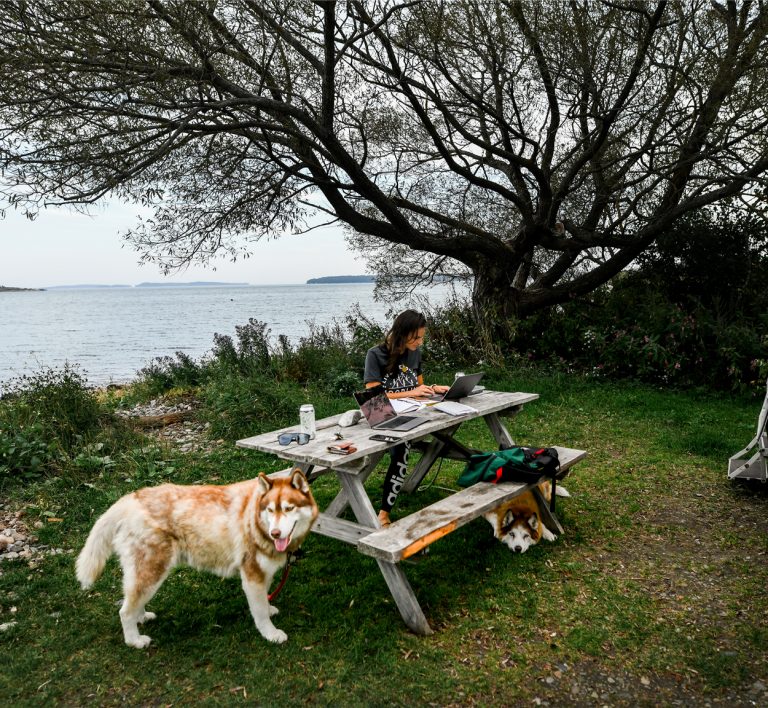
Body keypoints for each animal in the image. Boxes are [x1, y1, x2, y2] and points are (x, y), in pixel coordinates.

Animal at [76, 469, 318, 647]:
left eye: (289, 508)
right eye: (270, 510)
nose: (275, 533)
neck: (256, 521)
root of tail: (130, 499)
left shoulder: (262, 574)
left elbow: (265, 600)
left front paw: (269, 609)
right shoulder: (252, 576)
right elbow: (259, 612)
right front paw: (271, 633)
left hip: (145, 572)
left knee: (134, 600)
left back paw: (141, 617)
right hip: (153, 569)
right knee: (125, 611)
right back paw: (134, 640)